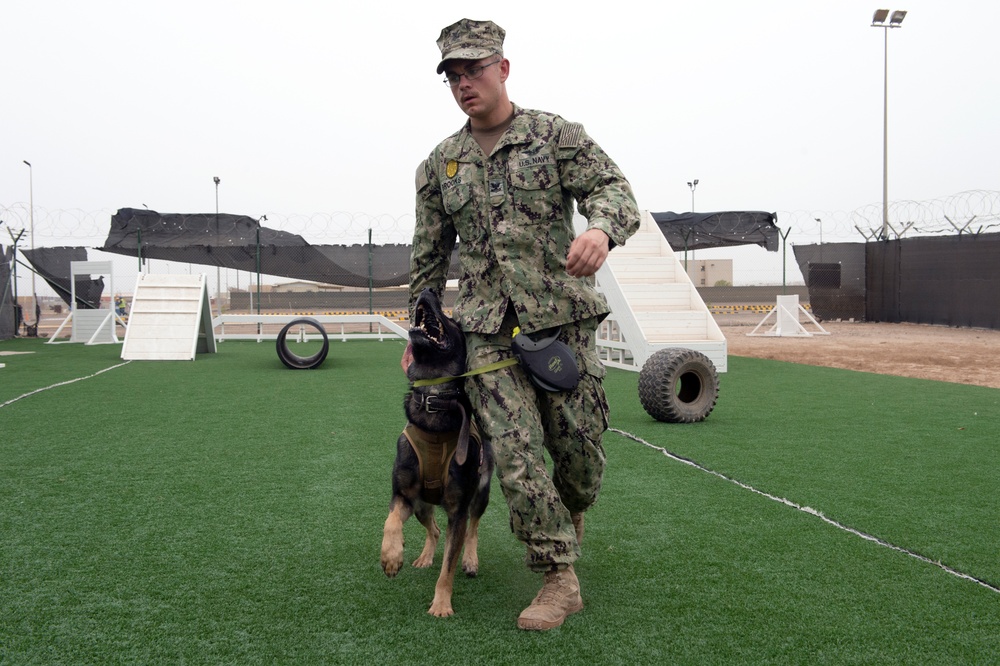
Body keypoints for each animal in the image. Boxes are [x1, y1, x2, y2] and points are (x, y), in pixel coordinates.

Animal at [380, 288, 494, 616]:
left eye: (451, 319)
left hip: (481, 493)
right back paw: (424, 556)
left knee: (472, 528)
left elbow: (449, 565)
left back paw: (471, 559)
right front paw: (391, 557)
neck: (434, 399)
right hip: (421, 504)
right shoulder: (403, 495)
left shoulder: (458, 509)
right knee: (433, 530)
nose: (427, 290)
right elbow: (390, 522)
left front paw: (442, 603)